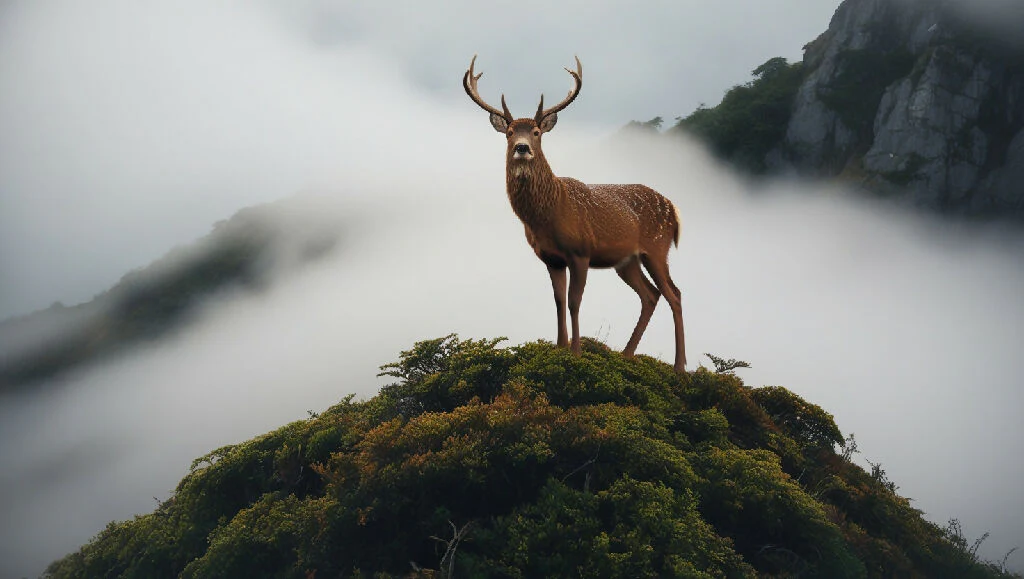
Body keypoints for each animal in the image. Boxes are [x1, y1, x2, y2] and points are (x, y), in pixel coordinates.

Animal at [463, 56, 687, 372]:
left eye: (536, 132)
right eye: (509, 132)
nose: (522, 148)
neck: (548, 215)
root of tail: (674, 210)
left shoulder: (581, 252)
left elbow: (574, 301)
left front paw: (577, 352)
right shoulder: (551, 258)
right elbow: (558, 301)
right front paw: (559, 348)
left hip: (657, 247)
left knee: (674, 294)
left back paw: (680, 367)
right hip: (626, 261)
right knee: (650, 295)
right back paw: (626, 355)